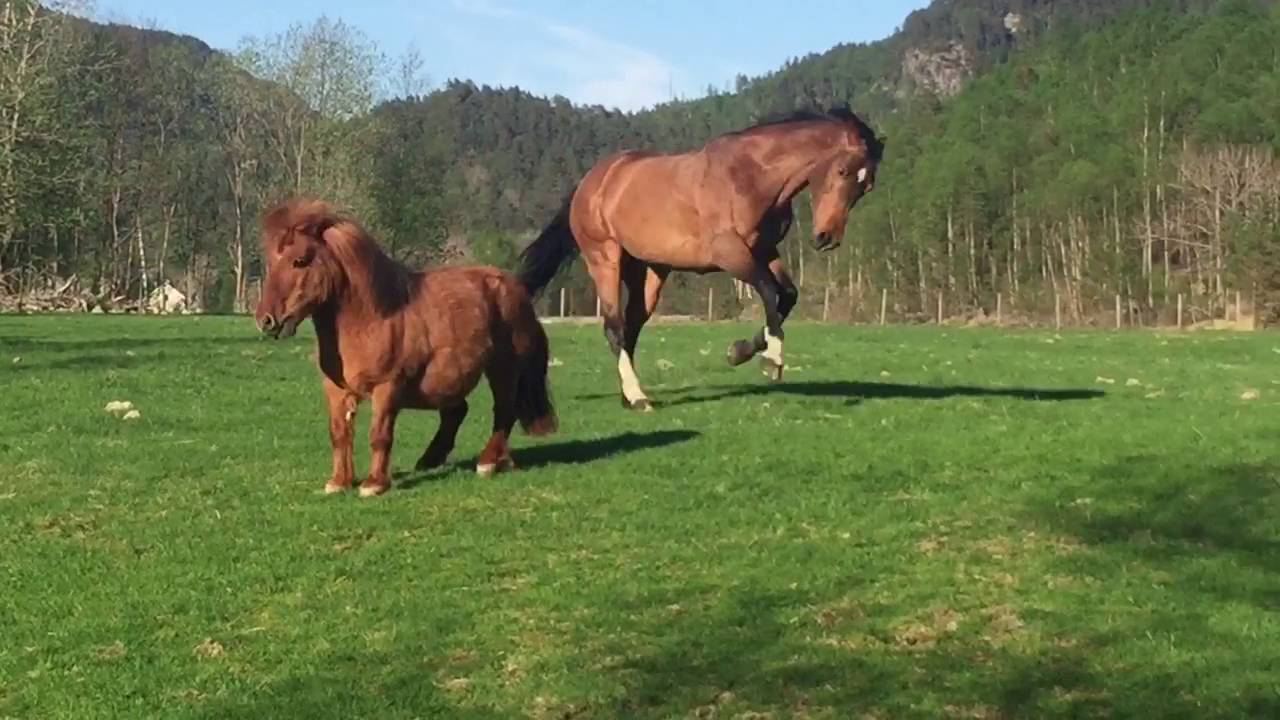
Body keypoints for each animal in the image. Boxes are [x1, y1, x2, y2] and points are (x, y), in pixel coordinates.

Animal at [253, 198, 558, 497]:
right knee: (457, 412)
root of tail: (516, 287)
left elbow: (379, 435)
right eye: (271, 261)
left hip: (503, 368)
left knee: (504, 410)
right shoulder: (336, 390)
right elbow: (339, 433)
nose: (266, 320)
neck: (369, 320)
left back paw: (488, 462)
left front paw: (374, 484)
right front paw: (339, 482)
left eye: (299, 261)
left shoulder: (387, 387)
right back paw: (436, 460)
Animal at [515, 106, 884, 411]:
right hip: (604, 259)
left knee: (632, 326)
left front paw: (741, 351)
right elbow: (768, 291)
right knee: (614, 327)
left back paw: (628, 395)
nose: (827, 238)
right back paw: (637, 398)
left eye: (866, 187)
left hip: (649, 271)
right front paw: (771, 359)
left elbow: (788, 296)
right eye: (842, 171)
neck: (752, 175)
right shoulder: (730, 253)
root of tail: (592, 181)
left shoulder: (764, 250)